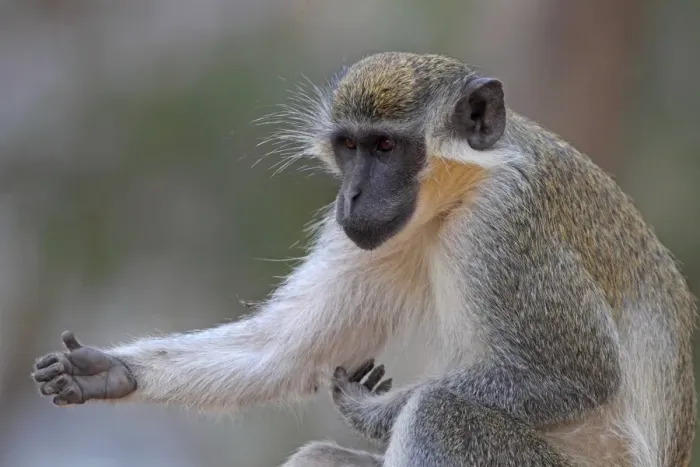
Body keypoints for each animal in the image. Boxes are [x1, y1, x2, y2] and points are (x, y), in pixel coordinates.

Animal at [31, 52, 695, 466]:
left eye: (385, 147)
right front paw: (108, 370)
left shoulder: (506, 224)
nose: (349, 197)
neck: (460, 192)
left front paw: (375, 412)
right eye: (349, 147)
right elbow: (284, 352)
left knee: (442, 414)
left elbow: (576, 376)